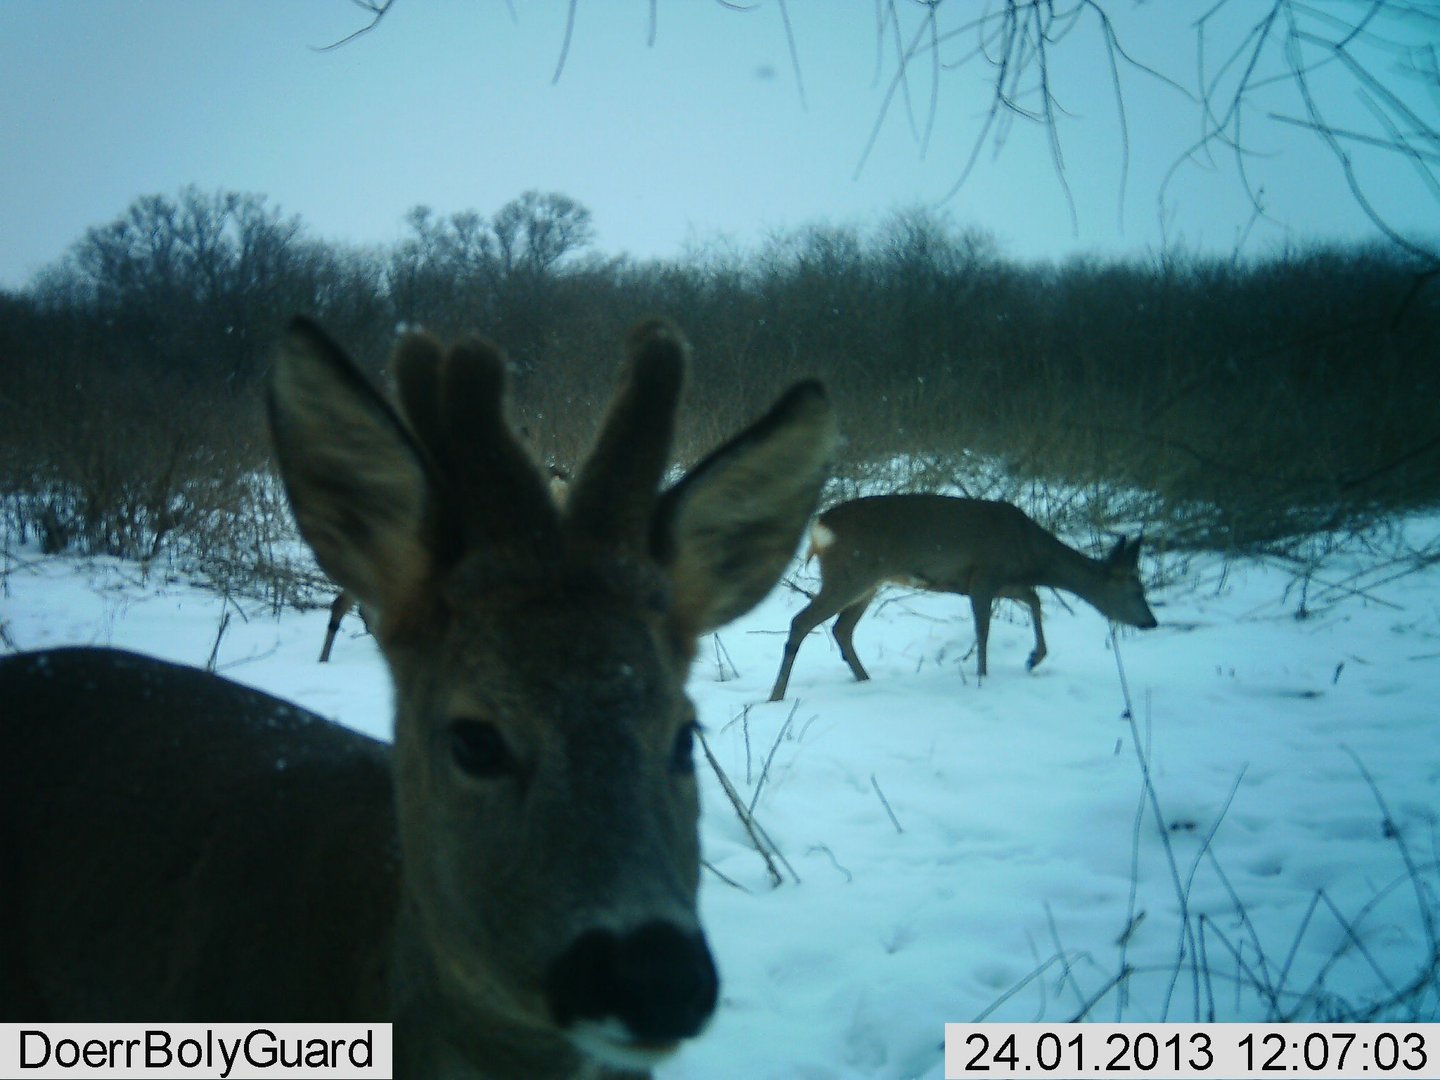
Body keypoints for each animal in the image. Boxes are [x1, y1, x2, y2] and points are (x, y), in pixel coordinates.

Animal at [766, 498, 1157, 702]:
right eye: (1137, 590)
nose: (1151, 621)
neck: (1031, 555)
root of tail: (819, 526)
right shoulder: (983, 576)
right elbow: (983, 630)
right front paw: (983, 677)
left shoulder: (1005, 582)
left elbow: (1034, 600)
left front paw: (1034, 658)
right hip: (851, 574)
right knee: (803, 621)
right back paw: (776, 695)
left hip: (868, 583)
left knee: (841, 630)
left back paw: (865, 681)